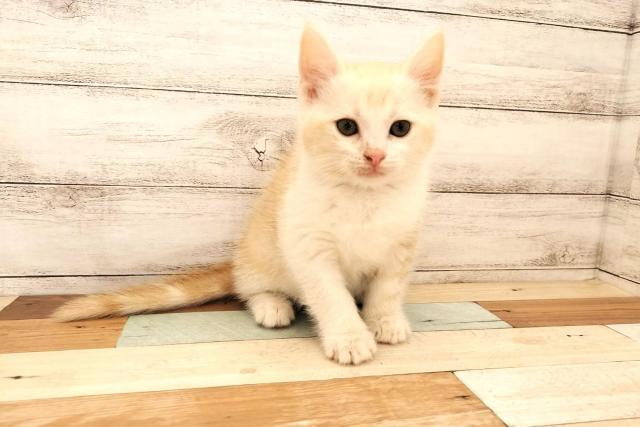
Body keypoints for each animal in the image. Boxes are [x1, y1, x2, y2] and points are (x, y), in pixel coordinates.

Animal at [54, 26, 445, 365]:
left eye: (400, 128)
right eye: (347, 127)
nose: (375, 155)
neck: (364, 197)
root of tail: (238, 263)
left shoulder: (403, 241)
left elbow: (388, 287)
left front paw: (385, 320)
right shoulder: (306, 241)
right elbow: (330, 294)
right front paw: (349, 337)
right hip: (262, 250)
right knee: (251, 288)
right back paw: (271, 304)